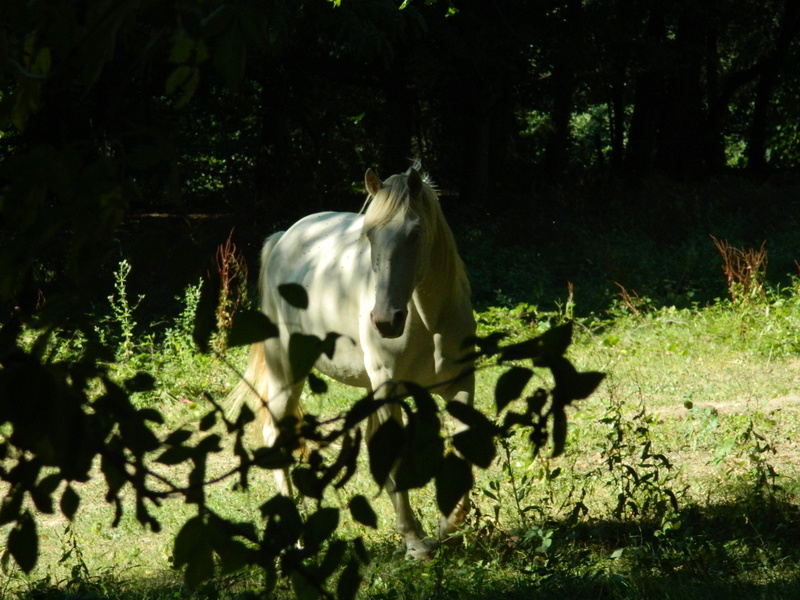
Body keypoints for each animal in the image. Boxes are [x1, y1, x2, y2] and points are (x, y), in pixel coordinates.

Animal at [231, 164, 478, 556]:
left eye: (415, 233)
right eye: (370, 234)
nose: (386, 320)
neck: (429, 320)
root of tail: (284, 238)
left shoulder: (460, 384)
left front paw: (446, 528)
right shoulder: (388, 388)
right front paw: (415, 542)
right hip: (286, 372)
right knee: (274, 434)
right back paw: (295, 537)